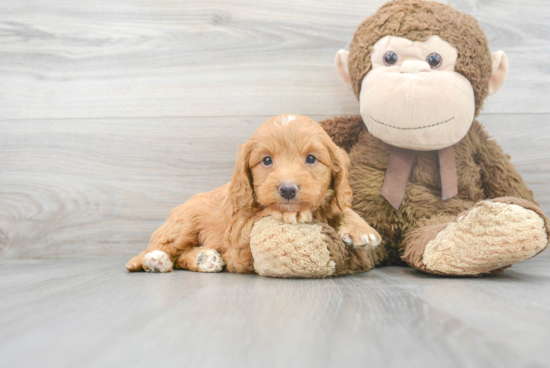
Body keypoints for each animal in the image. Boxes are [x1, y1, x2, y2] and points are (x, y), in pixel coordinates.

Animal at [126, 115, 382, 274]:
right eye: (266, 160)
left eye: (311, 158)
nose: (288, 190)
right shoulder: (238, 233)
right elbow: (264, 212)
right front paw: (290, 214)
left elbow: (341, 208)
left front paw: (362, 229)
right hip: (182, 227)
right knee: (159, 249)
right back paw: (155, 260)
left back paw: (205, 259)